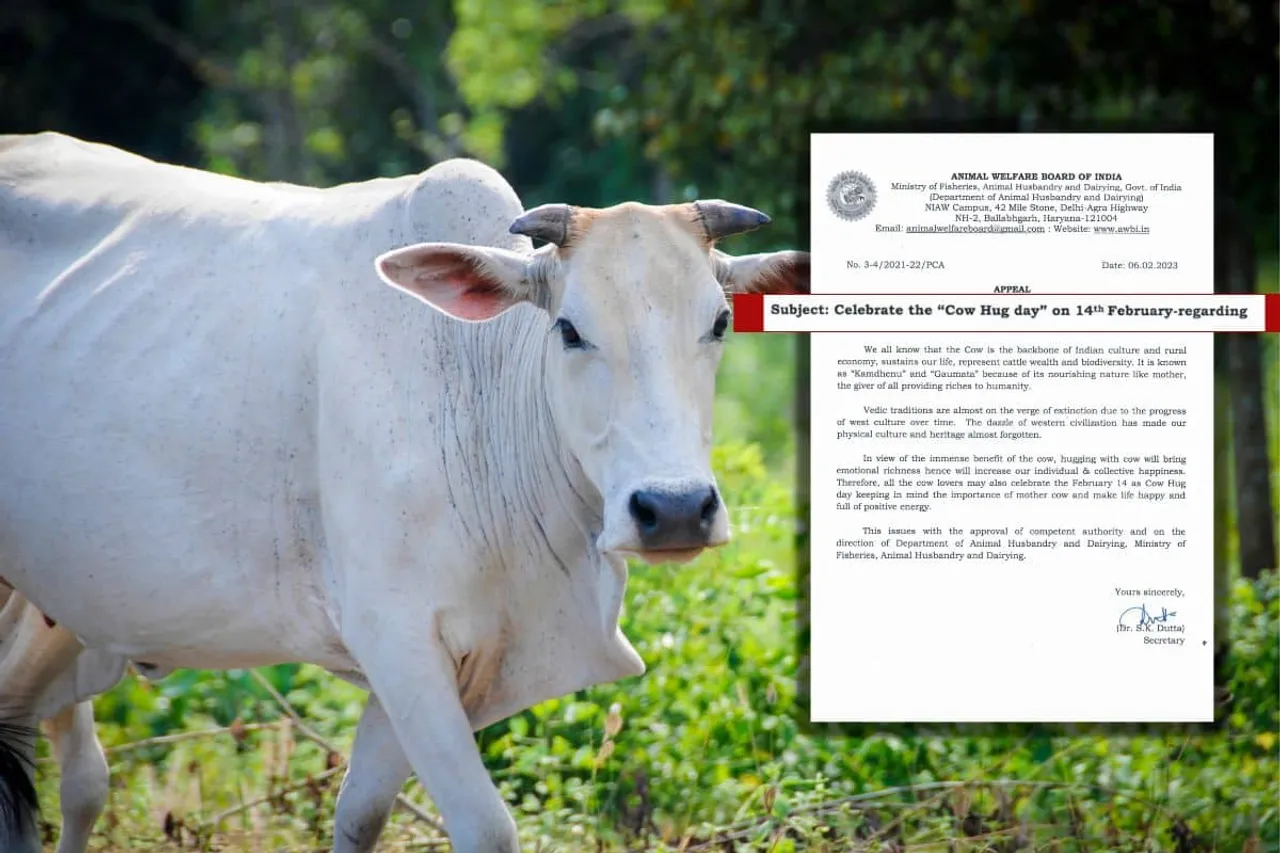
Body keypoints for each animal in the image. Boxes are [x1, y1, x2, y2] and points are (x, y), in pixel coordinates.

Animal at [0, 133, 808, 850]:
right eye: (571, 330)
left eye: (721, 322)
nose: (674, 510)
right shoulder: (396, 638)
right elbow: (486, 827)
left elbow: (360, 813)